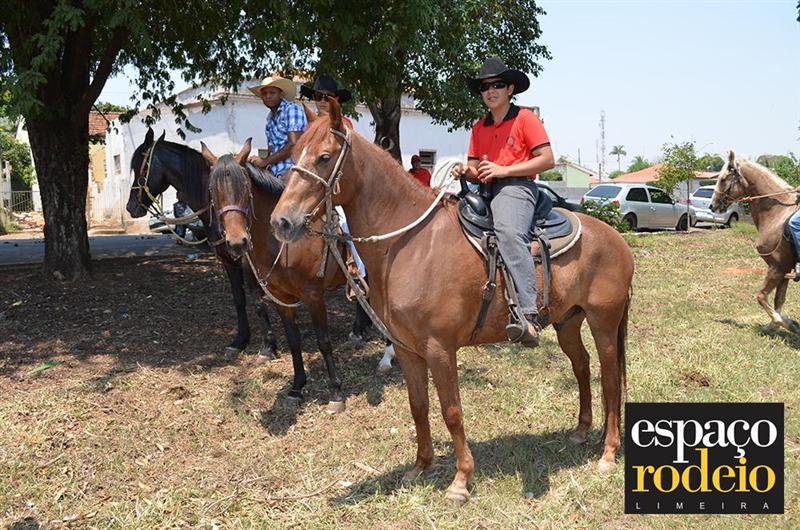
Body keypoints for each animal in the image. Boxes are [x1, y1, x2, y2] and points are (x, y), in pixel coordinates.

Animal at [125, 128, 279, 359]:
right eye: (213, 191)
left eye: (139, 167)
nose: (130, 206)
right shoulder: (228, 259)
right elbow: (239, 299)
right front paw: (240, 341)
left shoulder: (247, 260)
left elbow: (257, 299)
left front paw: (268, 346)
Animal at [201, 139, 371, 412]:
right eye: (212, 191)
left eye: (244, 187)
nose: (237, 242)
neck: (285, 244)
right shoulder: (282, 298)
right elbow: (293, 341)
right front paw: (297, 388)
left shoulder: (314, 296)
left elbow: (323, 341)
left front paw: (336, 393)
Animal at [269, 99, 634, 505]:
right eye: (293, 154)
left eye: (324, 157)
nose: (281, 221)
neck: (411, 244)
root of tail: (618, 240)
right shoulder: (407, 349)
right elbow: (418, 406)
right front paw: (420, 466)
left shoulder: (440, 348)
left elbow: (452, 410)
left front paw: (460, 480)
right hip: (568, 321)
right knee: (582, 366)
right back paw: (583, 430)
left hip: (604, 322)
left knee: (610, 378)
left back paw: (608, 452)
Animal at [710, 151, 800, 333]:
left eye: (723, 179)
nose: (712, 205)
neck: (777, 214)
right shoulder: (785, 269)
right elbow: (778, 299)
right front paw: (774, 325)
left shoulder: (777, 267)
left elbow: (761, 296)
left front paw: (787, 324)